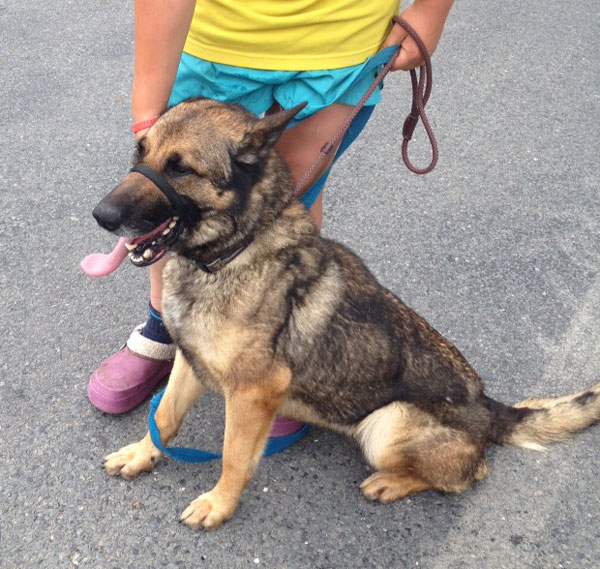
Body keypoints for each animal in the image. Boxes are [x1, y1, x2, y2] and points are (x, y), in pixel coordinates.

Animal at [96, 97, 596, 528]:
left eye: (181, 168)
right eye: (140, 151)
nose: (101, 215)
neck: (234, 251)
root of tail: (490, 409)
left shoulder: (254, 393)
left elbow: (234, 457)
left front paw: (219, 504)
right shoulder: (190, 360)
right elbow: (163, 418)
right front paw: (142, 454)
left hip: (386, 426)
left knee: (467, 475)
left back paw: (391, 483)